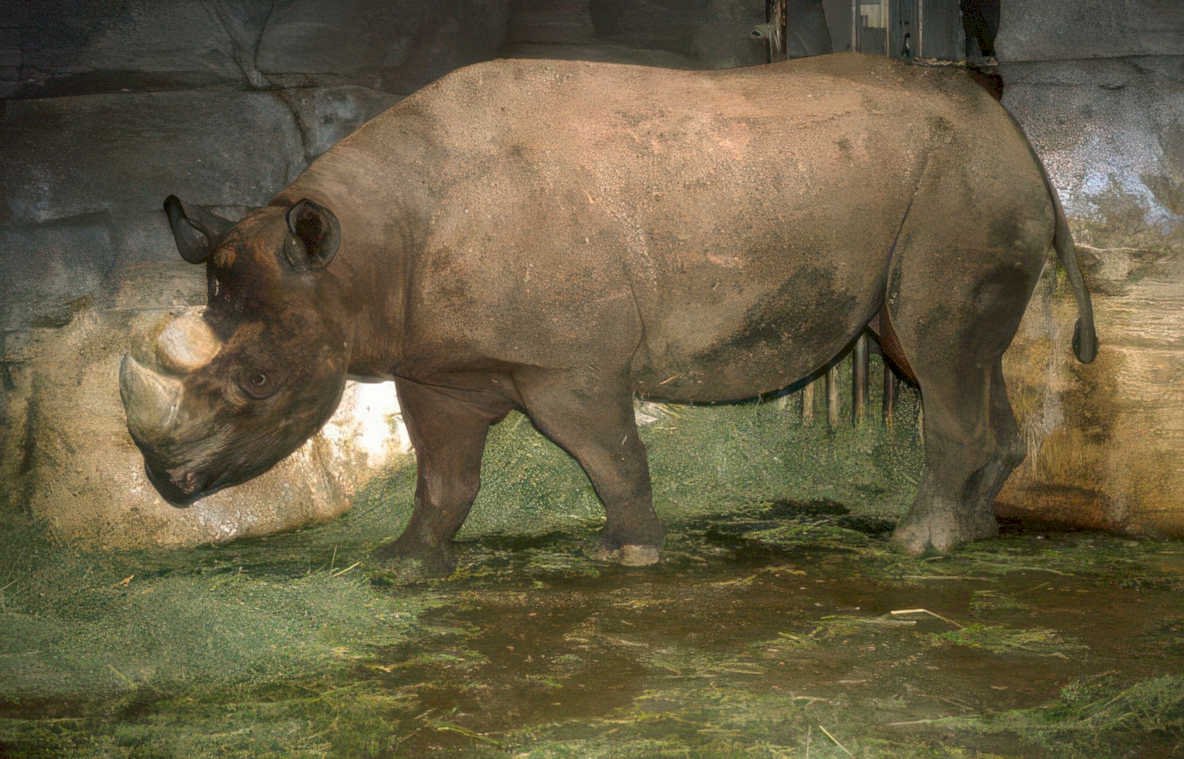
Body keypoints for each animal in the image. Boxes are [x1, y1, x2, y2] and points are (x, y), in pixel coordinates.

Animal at [119, 53, 1097, 569]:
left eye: (257, 377)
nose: (168, 484)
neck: (358, 255)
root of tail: (1016, 134)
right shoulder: (439, 362)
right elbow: (444, 472)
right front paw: (404, 565)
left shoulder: (569, 363)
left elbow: (610, 452)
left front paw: (630, 555)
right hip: (949, 185)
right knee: (941, 352)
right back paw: (974, 527)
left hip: (960, 188)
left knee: (936, 351)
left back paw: (919, 542)